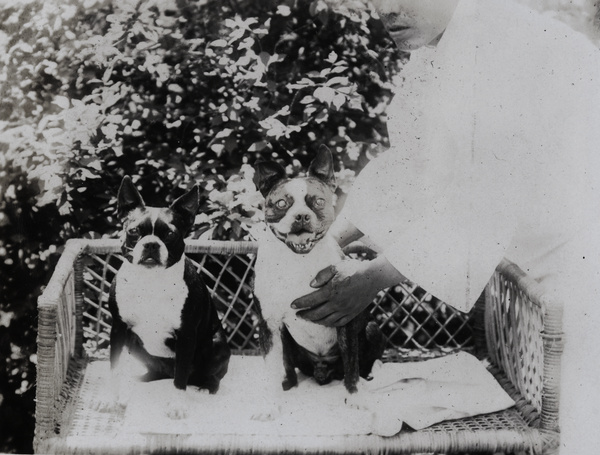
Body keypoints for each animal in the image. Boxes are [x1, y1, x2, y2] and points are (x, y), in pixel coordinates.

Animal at [105, 176, 230, 408]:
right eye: (133, 231)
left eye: (171, 234)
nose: (151, 244)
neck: (151, 280)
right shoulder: (118, 328)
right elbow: (115, 367)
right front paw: (109, 398)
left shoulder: (186, 335)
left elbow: (180, 377)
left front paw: (177, 406)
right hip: (134, 343)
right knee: (158, 372)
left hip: (216, 345)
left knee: (208, 376)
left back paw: (205, 388)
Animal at [250, 146, 382, 406]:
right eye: (281, 203)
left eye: (319, 202)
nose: (301, 216)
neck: (296, 261)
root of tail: (322, 371)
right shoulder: (268, 324)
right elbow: (272, 367)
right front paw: (270, 404)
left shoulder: (345, 315)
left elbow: (351, 364)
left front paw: (354, 396)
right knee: (288, 366)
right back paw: (289, 383)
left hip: (372, 328)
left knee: (360, 365)